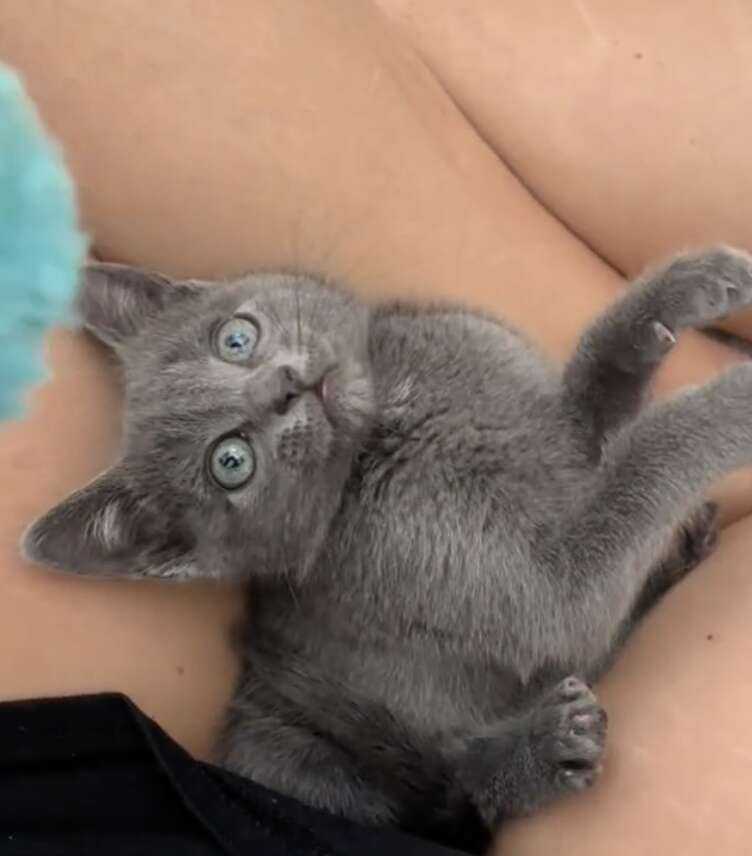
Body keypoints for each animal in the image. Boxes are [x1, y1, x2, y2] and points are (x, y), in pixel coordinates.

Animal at [20, 247, 752, 848]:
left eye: (235, 338)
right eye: (230, 462)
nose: (285, 387)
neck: (388, 419)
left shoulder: (550, 428)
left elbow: (594, 399)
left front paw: (686, 288)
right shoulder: (550, 590)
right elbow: (644, 459)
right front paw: (736, 398)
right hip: (287, 746)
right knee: (450, 797)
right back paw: (546, 748)